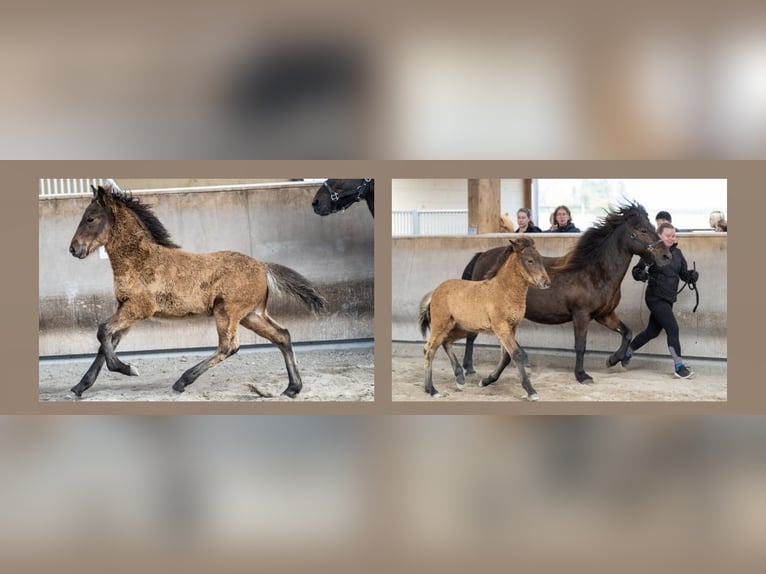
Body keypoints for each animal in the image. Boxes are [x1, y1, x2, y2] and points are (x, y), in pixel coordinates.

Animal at [67, 186, 328, 400]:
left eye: (90, 218)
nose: (73, 249)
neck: (140, 261)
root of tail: (263, 266)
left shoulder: (138, 309)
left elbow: (102, 331)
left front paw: (128, 369)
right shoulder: (126, 310)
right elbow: (105, 343)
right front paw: (79, 387)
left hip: (227, 312)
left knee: (229, 346)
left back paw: (182, 381)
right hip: (251, 315)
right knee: (282, 336)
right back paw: (292, 388)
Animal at [420, 238, 552, 400]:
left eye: (541, 259)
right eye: (530, 261)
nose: (546, 282)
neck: (504, 290)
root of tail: (435, 291)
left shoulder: (511, 327)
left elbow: (506, 356)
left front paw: (485, 381)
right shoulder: (501, 326)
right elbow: (516, 354)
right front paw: (531, 391)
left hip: (460, 328)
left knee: (446, 342)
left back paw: (459, 379)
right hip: (441, 325)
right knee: (430, 349)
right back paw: (432, 389)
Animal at [462, 202, 672, 388]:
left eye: (653, 227)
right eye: (643, 230)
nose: (666, 256)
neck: (594, 273)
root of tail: (482, 256)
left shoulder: (604, 314)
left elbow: (627, 332)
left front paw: (613, 359)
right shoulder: (581, 315)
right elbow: (580, 345)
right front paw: (582, 375)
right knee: (472, 335)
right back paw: (468, 368)